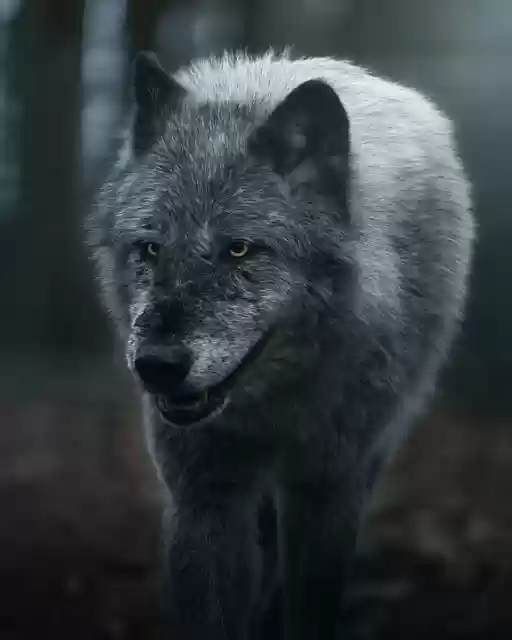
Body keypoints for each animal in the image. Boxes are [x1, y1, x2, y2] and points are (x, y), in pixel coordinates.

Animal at [86, 50, 474, 640]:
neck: (272, 404)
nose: (157, 365)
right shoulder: (205, 495)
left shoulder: (328, 490)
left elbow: (309, 607)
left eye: (240, 250)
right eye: (150, 249)